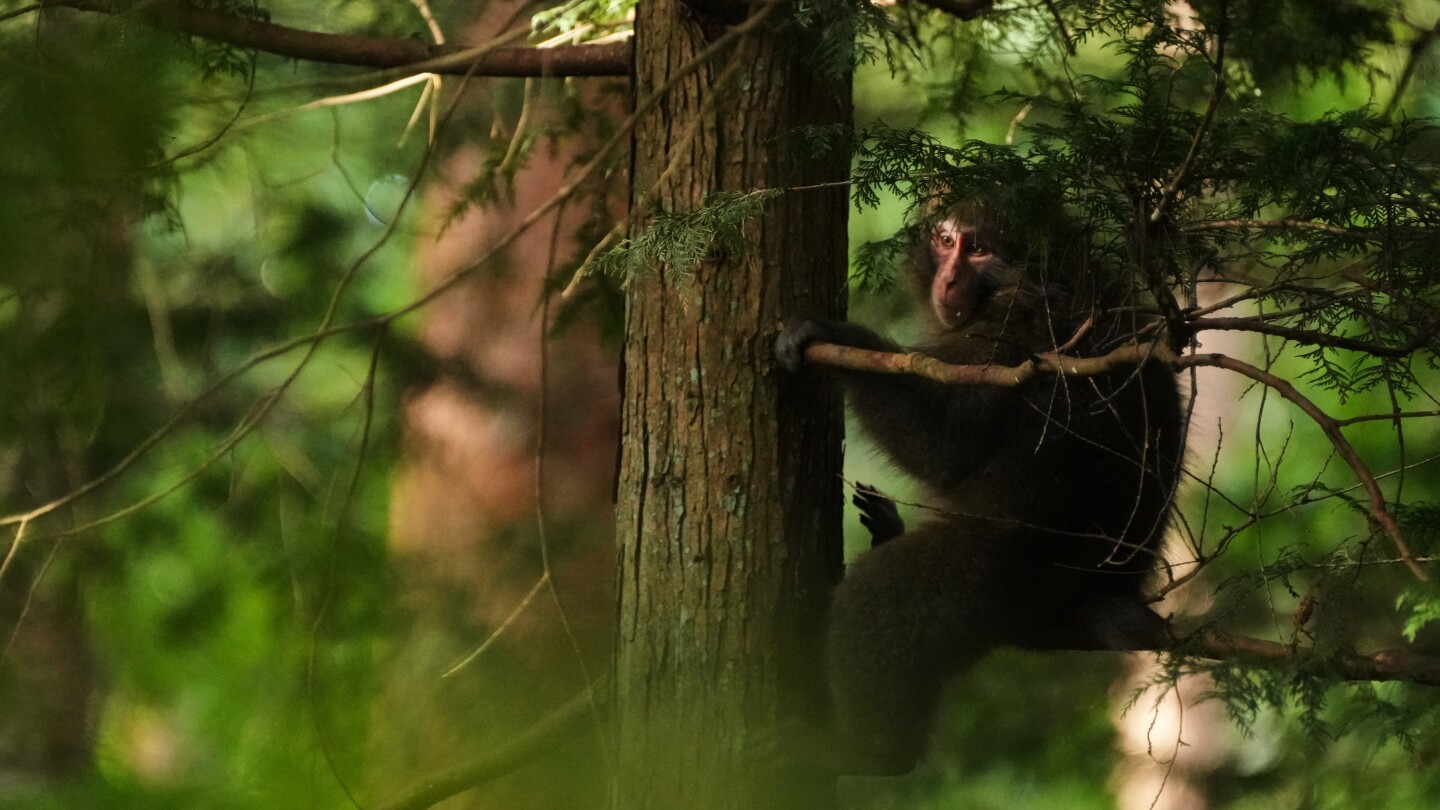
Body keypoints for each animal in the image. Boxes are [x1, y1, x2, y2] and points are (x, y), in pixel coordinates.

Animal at [774, 201, 1184, 776]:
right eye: (945, 241)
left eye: (979, 249)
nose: (948, 280)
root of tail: (1104, 593)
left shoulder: (1013, 337)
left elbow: (944, 448)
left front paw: (833, 337)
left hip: (1010, 577)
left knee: (889, 591)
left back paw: (871, 750)